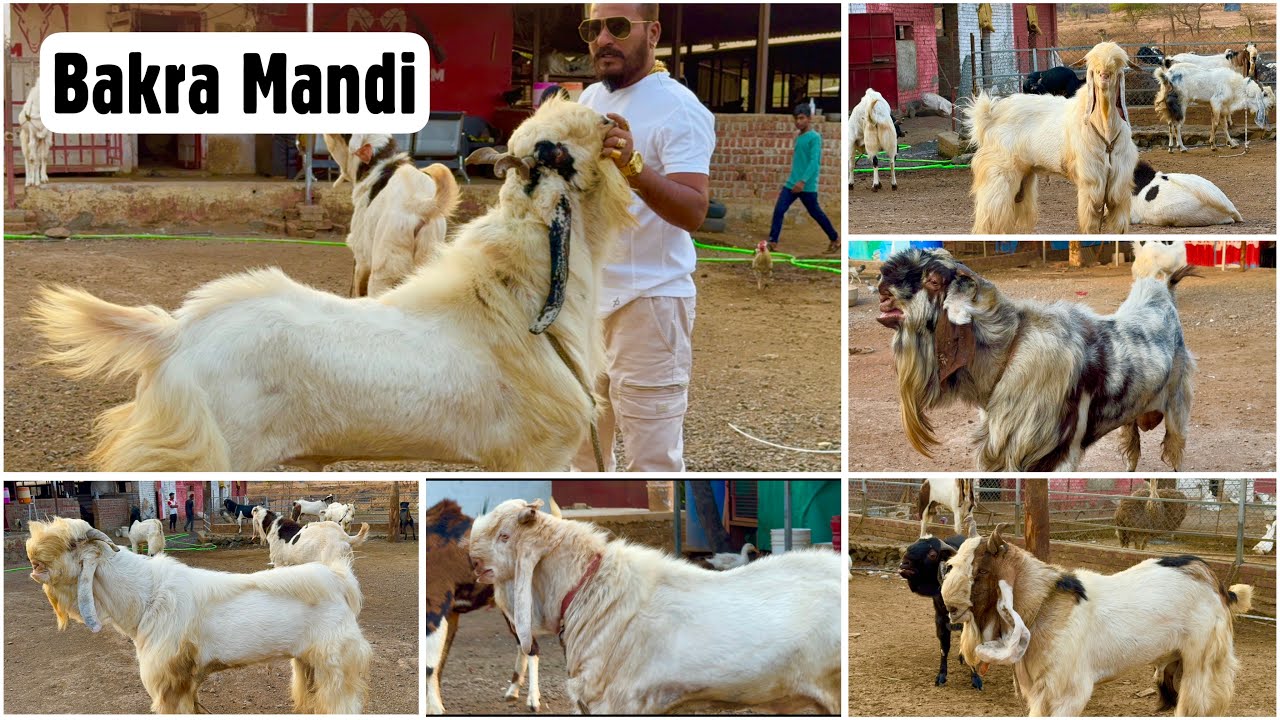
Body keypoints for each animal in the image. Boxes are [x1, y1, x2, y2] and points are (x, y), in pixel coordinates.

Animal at [26, 517, 371, 713]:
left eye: (72, 543)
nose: (33, 557)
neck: (147, 596)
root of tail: (339, 578)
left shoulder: (170, 683)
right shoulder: (186, 683)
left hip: (335, 667)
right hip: (307, 664)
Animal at [899, 528, 983, 689]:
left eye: (932, 554)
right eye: (911, 546)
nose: (904, 565)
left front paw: (975, 678)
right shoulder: (940, 619)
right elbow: (944, 648)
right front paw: (941, 676)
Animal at [941, 525, 1252, 716]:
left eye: (981, 571)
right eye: (952, 564)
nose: (950, 607)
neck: (1044, 603)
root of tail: (1215, 581)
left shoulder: (1065, 692)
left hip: (1204, 663)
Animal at [967, 42, 1137, 234]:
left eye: (1118, 66)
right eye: (1092, 68)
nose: (1104, 76)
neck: (1104, 130)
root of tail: (989, 116)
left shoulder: (1118, 186)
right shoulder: (1091, 183)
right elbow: (1090, 225)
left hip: (1023, 177)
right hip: (998, 175)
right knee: (991, 217)